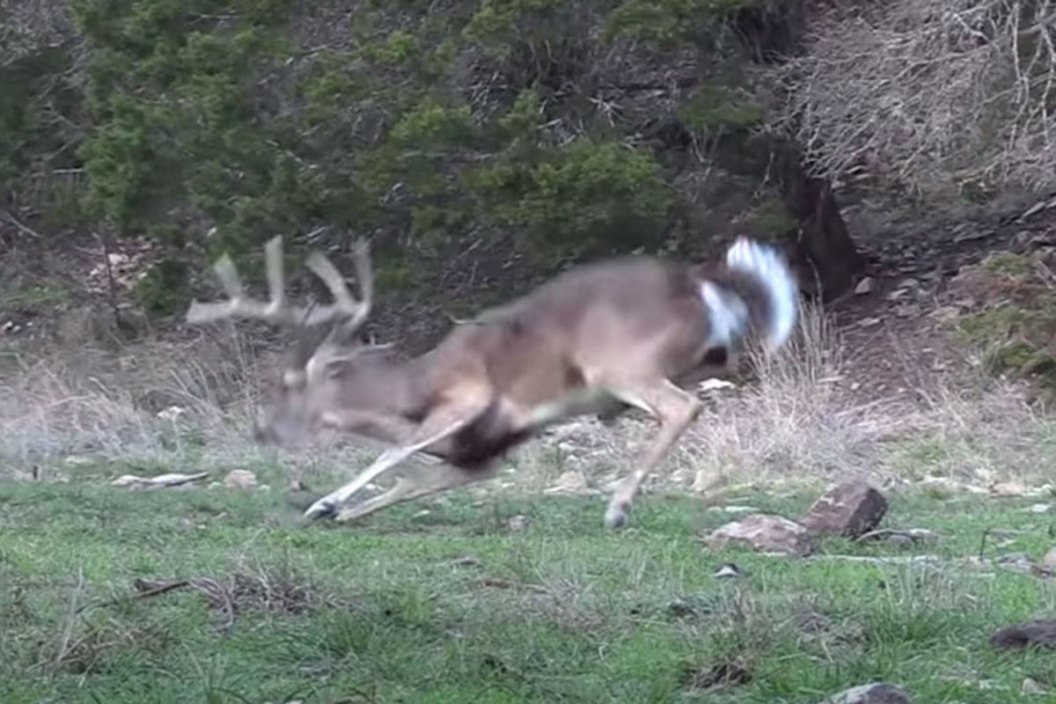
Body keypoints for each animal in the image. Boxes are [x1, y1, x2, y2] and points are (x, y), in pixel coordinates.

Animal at [185, 234, 799, 529]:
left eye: (289, 383)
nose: (261, 430)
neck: (409, 392)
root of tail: (702, 284)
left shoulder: (468, 396)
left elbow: (394, 455)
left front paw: (325, 501)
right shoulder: (483, 453)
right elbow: (414, 480)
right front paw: (334, 513)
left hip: (618, 364)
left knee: (681, 407)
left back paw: (617, 508)